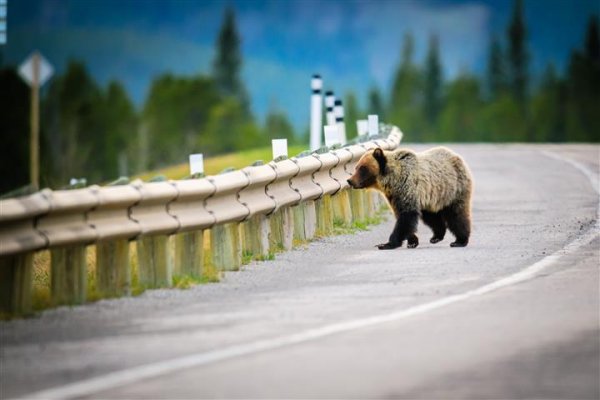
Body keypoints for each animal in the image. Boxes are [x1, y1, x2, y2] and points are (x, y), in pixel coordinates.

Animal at [346, 145, 474, 248]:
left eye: (363, 168)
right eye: (356, 167)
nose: (350, 180)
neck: (392, 181)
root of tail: (457, 156)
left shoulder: (407, 187)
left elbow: (406, 216)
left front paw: (386, 244)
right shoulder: (394, 196)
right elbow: (402, 217)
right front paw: (412, 241)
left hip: (454, 189)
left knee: (456, 214)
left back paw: (460, 241)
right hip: (431, 197)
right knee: (431, 216)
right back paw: (436, 236)